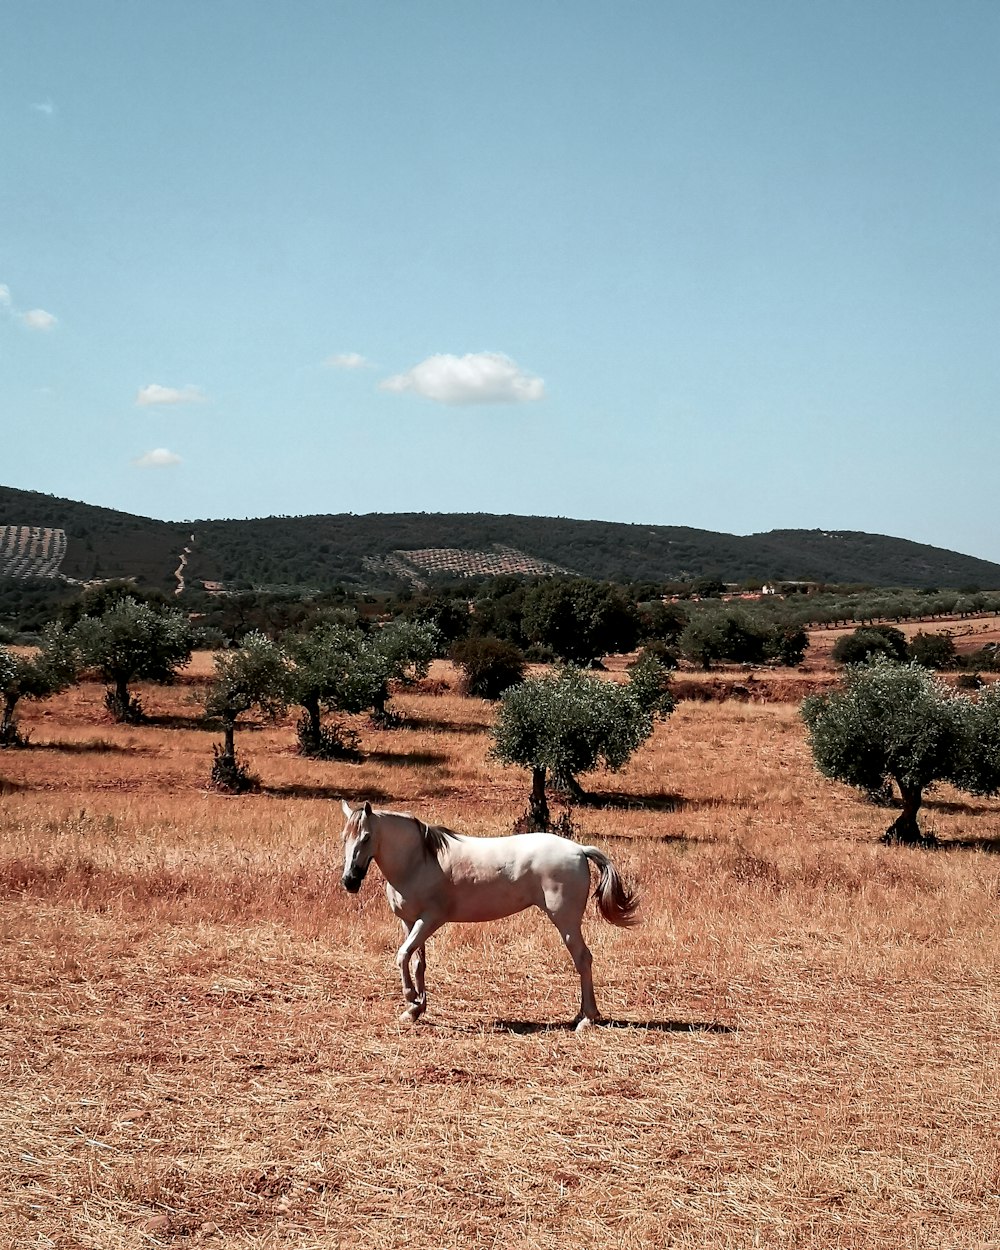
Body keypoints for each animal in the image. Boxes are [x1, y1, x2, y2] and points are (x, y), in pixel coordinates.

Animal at [337, 805, 640, 1030]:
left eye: (366, 837)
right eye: (344, 838)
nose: (349, 881)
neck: (418, 861)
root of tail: (579, 849)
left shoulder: (430, 920)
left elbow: (401, 956)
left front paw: (411, 998)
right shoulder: (410, 922)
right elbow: (417, 963)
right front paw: (415, 1009)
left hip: (566, 920)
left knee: (583, 959)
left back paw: (587, 1018)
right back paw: (581, 1015)